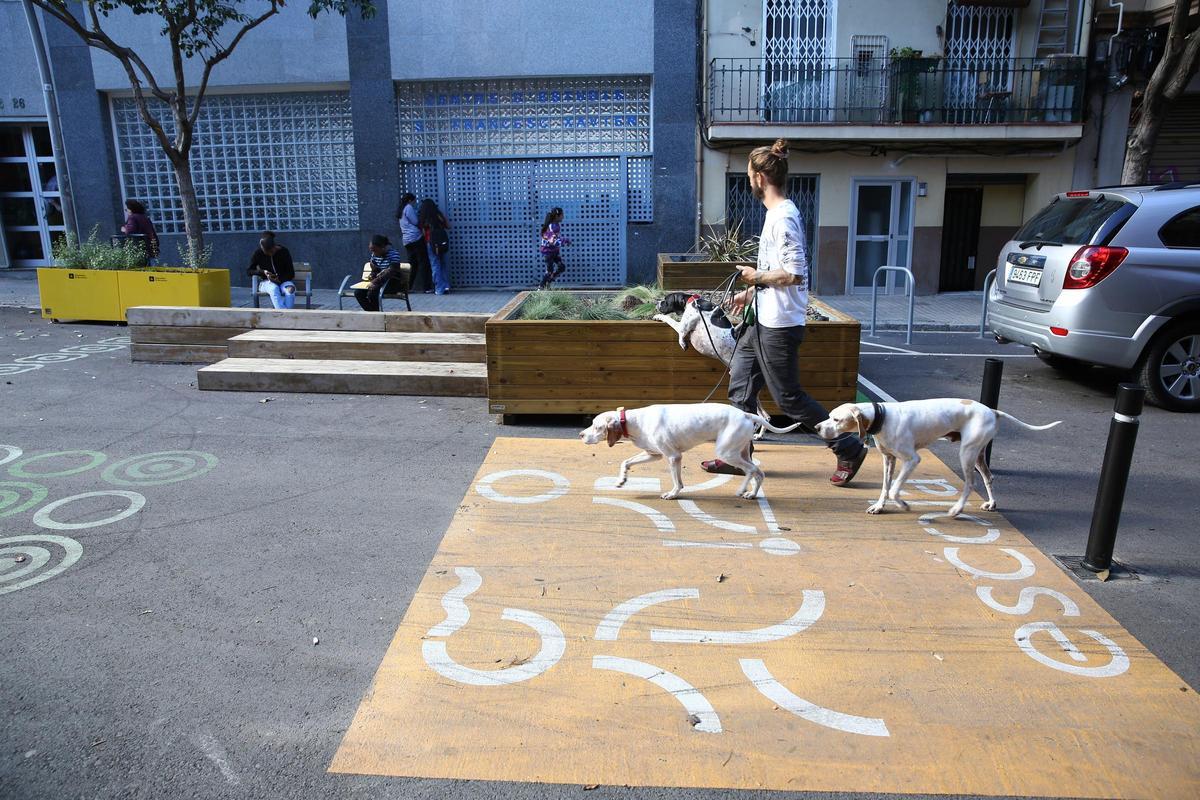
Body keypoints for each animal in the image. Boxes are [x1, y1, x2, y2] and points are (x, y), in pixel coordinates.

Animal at [580, 402, 806, 496]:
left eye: (596, 426)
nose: (581, 435)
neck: (634, 421)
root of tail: (746, 414)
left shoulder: (673, 457)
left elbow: (677, 482)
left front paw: (673, 494)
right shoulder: (653, 454)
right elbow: (625, 462)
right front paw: (622, 480)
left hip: (726, 453)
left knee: (752, 471)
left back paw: (744, 491)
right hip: (739, 452)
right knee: (758, 473)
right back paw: (750, 493)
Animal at [816, 398, 1060, 520]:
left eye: (836, 419)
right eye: (829, 416)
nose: (817, 427)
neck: (882, 416)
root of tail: (992, 410)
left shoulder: (912, 460)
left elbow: (894, 489)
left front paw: (904, 505)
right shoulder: (889, 459)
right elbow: (885, 487)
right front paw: (878, 507)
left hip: (967, 453)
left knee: (970, 483)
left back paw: (956, 510)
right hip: (978, 454)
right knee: (989, 477)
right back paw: (991, 503)